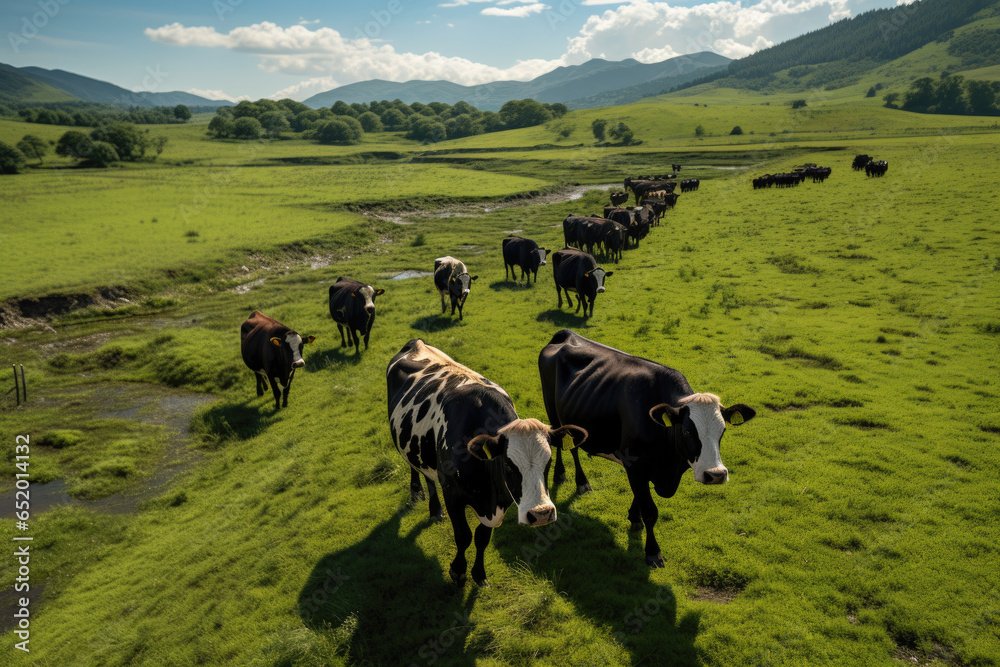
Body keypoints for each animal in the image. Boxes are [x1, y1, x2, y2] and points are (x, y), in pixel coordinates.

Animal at [387, 339, 587, 585]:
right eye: (509, 464)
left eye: (548, 461)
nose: (541, 514)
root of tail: (416, 342)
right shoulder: (452, 492)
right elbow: (463, 536)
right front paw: (458, 571)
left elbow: (482, 538)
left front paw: (479, 574)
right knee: (414, 467)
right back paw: (418, 494)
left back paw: (434, 510)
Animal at [538, 329, 756, 567]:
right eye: (687, 431)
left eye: (722, 431)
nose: (716, 475)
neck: (669, 465)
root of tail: (566, 334)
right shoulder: (635, 465)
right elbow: (650, 510)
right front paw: (653, 552)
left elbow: (639, 497)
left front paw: (634, 517)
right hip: (553, 411)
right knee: (566, 446)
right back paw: (573, 479)